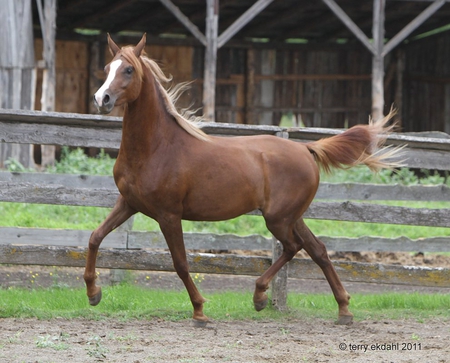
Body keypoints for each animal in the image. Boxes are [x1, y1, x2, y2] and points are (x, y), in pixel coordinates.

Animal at [84, 34, 400, 328]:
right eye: (107, 67)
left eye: (128, 70)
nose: (101, 99)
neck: (157, 147)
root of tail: (306, 149)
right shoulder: (128, 203)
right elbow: (95, 237)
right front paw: (93, 293)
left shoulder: (169, 214)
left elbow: (181, 263)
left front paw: (199, 311)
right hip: (291, 216)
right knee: (318, 250)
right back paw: (343, 309)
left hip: (278, 218)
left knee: (293, 247)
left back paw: (260, 296)